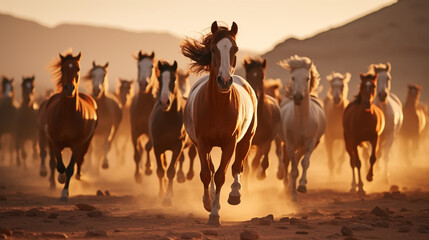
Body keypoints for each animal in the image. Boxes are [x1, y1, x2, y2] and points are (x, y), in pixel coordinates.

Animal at [36, 53, 97, 201]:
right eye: (62, 69)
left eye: (78, 68)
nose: (69, 88)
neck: (68, 116)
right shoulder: (55, 142)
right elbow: (59, 165)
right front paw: (60, 178)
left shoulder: (77, 144)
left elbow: (70, 168)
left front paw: (65, 192)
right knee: (51, 161)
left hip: (87, 142)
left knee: (80, 160)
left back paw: (79, 176)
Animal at [179, 21, 256, 225]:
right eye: (213, 49)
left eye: (235, 49)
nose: (225, 81)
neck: (218, 107)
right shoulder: (202, 143)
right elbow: (207, 174)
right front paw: (208, 203)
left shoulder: (229, 143)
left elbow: (222, 174)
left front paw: (215, 214)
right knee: (212, 170)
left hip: (246, 139)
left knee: (238, 166)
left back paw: (235, 195)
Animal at [278, 54, 324, 201]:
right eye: (293, 77)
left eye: (307, 78)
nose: (298, 97)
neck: (301, 121)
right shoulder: (290, 143)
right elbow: (293, 169)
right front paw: (293, 194)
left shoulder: (310, 142)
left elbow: (304, 163)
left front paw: (302, 186)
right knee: (287, 162)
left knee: (299, 159)